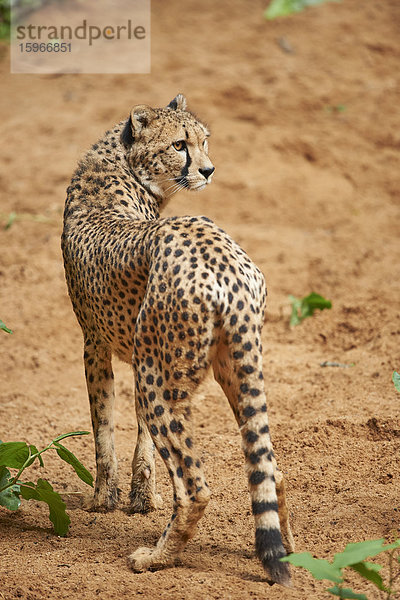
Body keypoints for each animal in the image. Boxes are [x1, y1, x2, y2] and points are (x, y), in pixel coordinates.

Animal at [61, 94, 294, 584]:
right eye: (180, 144)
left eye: (203, 141)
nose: (208, 169)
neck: (122, 166)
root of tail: (223, 256)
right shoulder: (136, 350)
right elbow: (137, 435)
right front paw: (139, 496)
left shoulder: (96, 345)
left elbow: (102, 426)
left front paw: (102, 499)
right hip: (231, 363)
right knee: (271, 469)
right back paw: (284, 553)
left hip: (161, 379)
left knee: (195, 487)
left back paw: (155, 557)